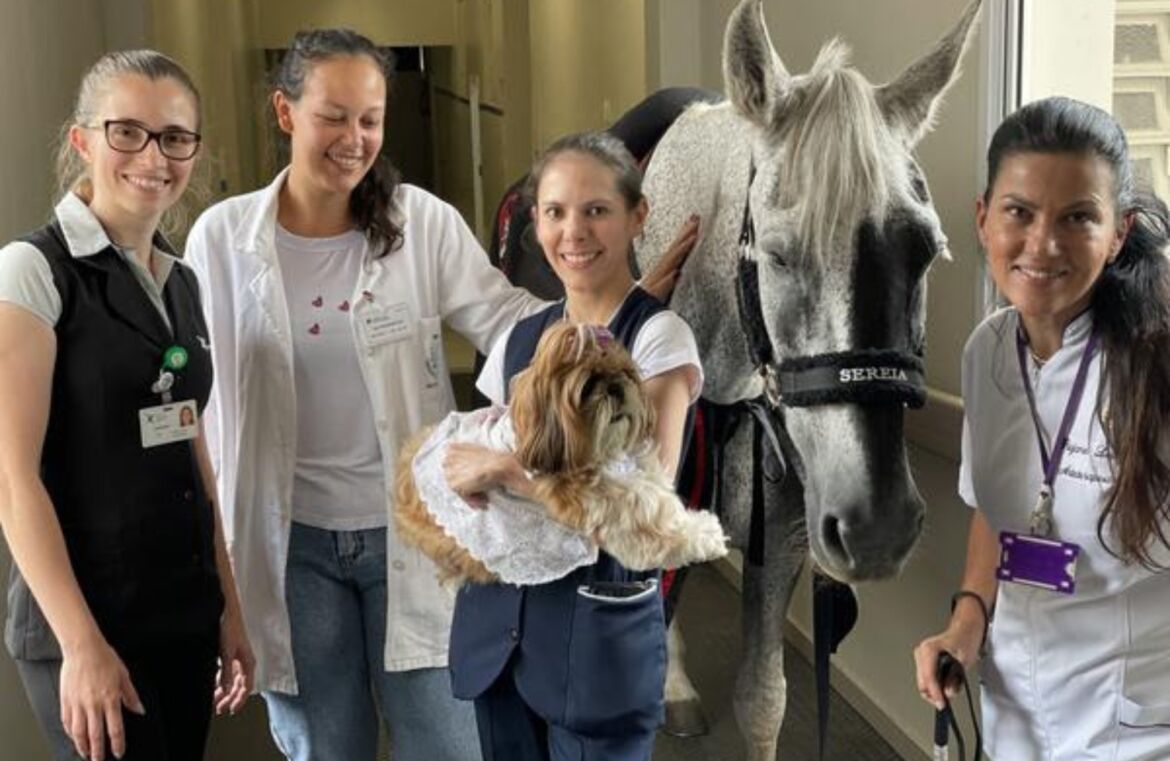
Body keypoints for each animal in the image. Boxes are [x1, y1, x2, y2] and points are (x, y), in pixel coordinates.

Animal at [394, 322, 728, 587]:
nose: (616, 387)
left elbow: (654, 483)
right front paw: (702, 536)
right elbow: (645, 510)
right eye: (589, 384)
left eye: (625, 373)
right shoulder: (590, 496)